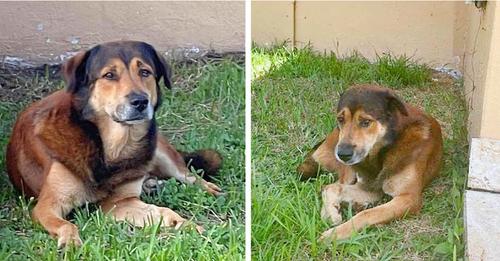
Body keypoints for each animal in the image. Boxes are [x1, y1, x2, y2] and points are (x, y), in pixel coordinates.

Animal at [5, 40, 223, 246]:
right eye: (109, 75)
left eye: (145, 72)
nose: (140, 101)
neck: (110, 148)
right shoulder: (47, 206)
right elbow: (67, 225)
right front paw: (70, 242)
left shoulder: (121, 202)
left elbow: (165, 212)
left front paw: (187, 225)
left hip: (158, 150)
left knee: (188, 175)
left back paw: (208, 189)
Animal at [296, 84, 442, 241]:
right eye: (340, 119)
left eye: (366, 122)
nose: (342, 154)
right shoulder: (369, 188)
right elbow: (333, 188)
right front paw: (332, 216)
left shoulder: (408, 198)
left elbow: (368, 214)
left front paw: (333, 235)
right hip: (348, 170)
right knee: (331, 185)